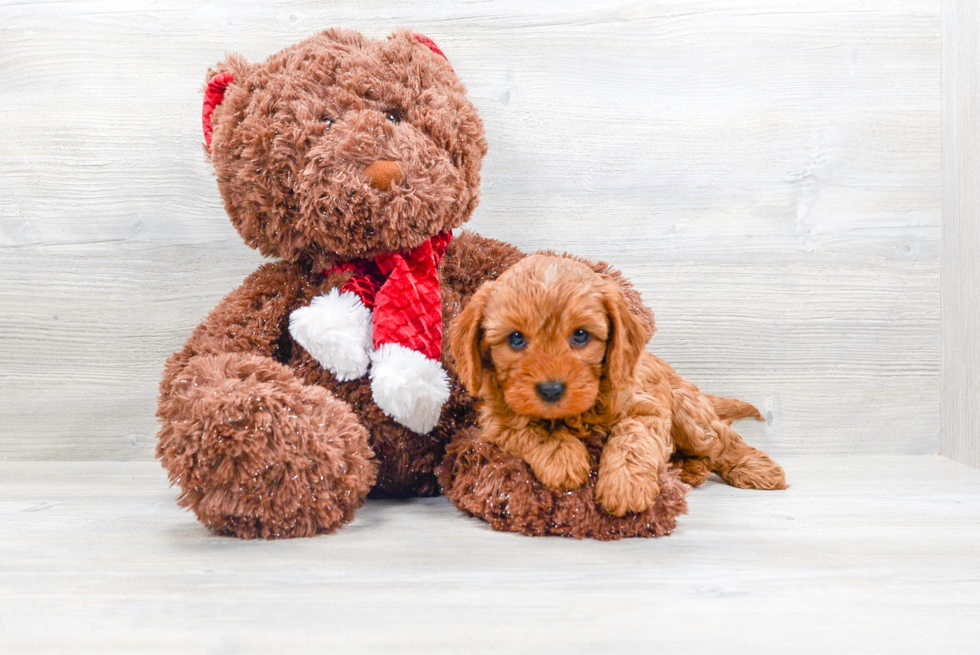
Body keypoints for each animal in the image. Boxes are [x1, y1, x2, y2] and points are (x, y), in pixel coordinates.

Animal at [452, 254, 788, 516]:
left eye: (581, 335)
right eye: (516, 339)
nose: (550, 390)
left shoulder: (645, 406)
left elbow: (632, 438)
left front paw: (626, 485)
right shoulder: (496, 418)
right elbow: (528, 428)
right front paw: (563, 457)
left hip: (689, 415)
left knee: (723, 440)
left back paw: (756, 468)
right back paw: (690, 468)